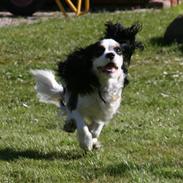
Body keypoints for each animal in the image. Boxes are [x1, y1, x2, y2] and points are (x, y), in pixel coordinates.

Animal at [31, 22, 143, 151]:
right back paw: (70, 124)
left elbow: (96, 128)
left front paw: (93, 139)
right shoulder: (76, 105)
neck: (102, 82)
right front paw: (86, 142)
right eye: (99, 51)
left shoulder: (106, 108)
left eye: (118, 50)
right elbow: (81, 125)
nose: (110, 54)